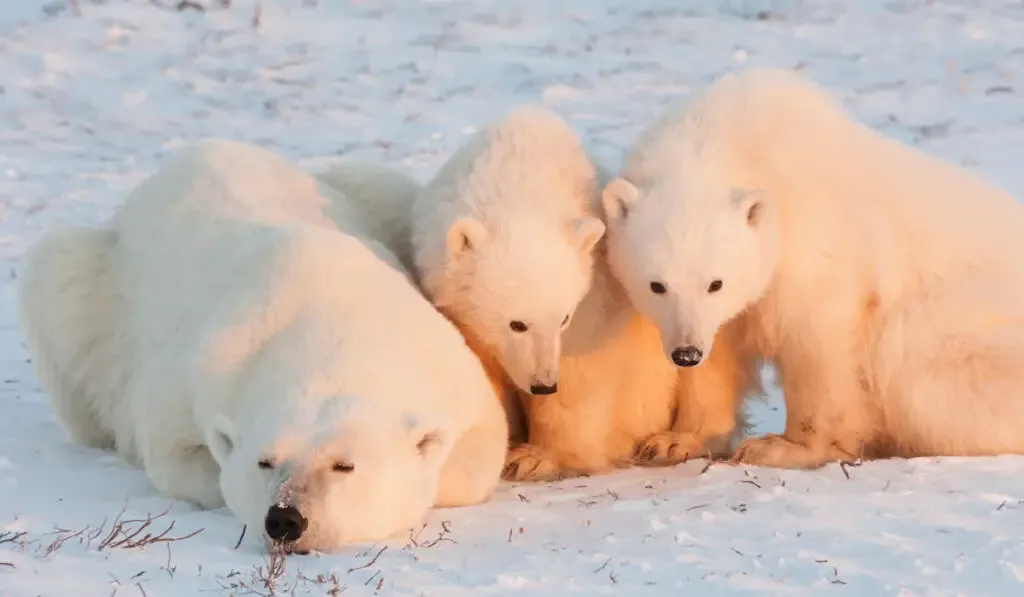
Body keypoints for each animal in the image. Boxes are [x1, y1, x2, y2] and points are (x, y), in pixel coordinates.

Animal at [18, 139, 507, 552]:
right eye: (265, 462)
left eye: (344, 465)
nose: (286, 519)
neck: (328, 320)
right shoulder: (200, 371)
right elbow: (177, 453)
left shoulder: (447, 365)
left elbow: (478, 452)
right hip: (94, 285)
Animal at [409, 107, 761, 481]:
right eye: (516, 323)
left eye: (564, 318)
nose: (543, 384)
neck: (518, 177)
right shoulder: (460, 312)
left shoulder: (593, 301)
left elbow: (581, 376)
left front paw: (535, 458)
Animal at [602, 69, 1024, 471]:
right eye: (657, 285)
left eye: (715, 283)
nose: (686, 353)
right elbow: (720, 351)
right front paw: (674, 441)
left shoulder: (816, 247)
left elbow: (817, 346)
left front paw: (783, 448)